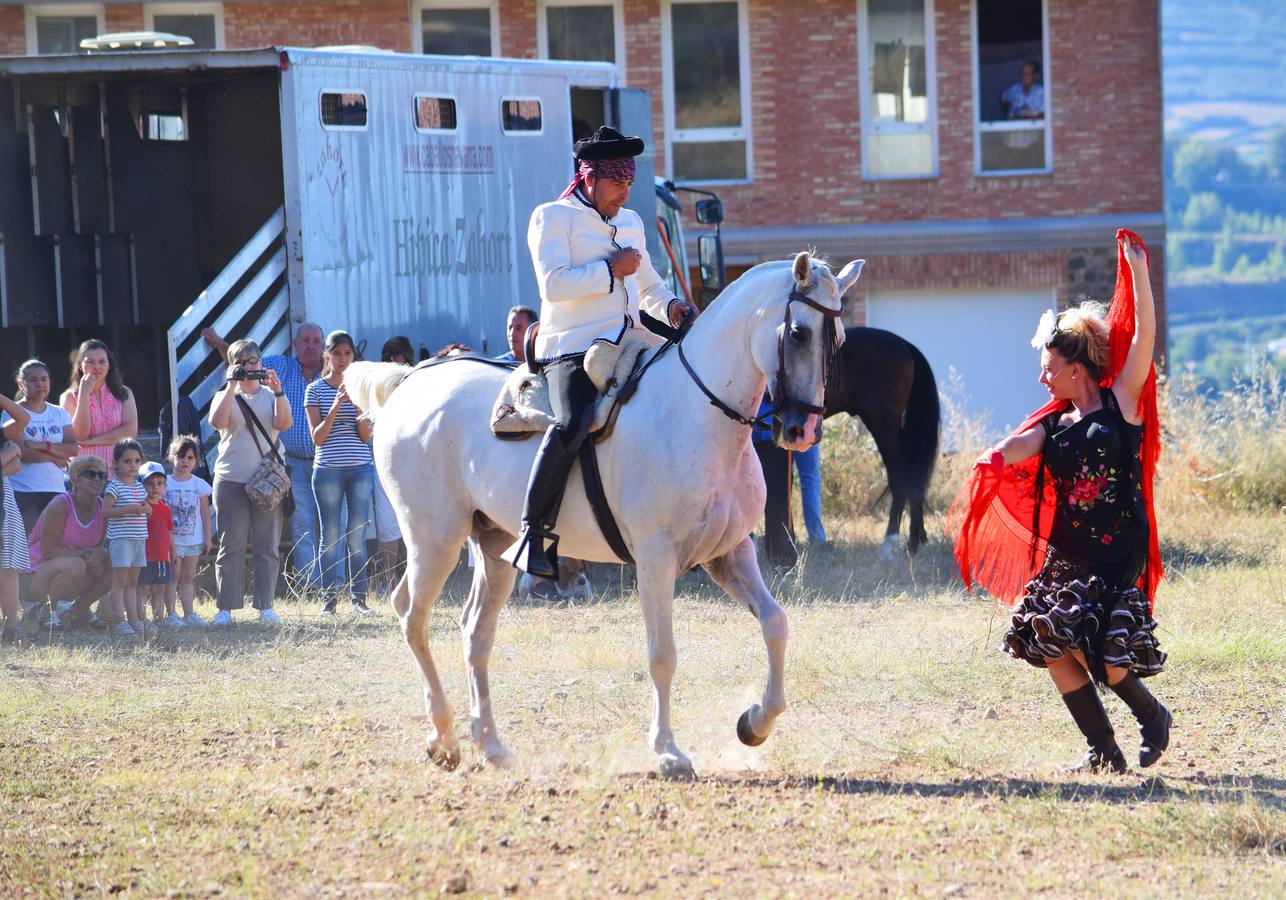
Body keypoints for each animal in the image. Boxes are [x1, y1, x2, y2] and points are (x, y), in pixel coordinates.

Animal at [344, 249, 864, 776]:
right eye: (798, 333)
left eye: (839, 338)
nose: (802, 431)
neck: (696, 411)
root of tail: (410, 381)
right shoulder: (656, 559)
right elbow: (662, 653)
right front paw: (668, 751)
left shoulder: (730, 553)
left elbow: (776, 623)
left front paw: (755, 722)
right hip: (434, 540)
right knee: (412, 615)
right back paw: (444, 738)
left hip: (493, 547)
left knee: (476, 631)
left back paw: (491, 745)